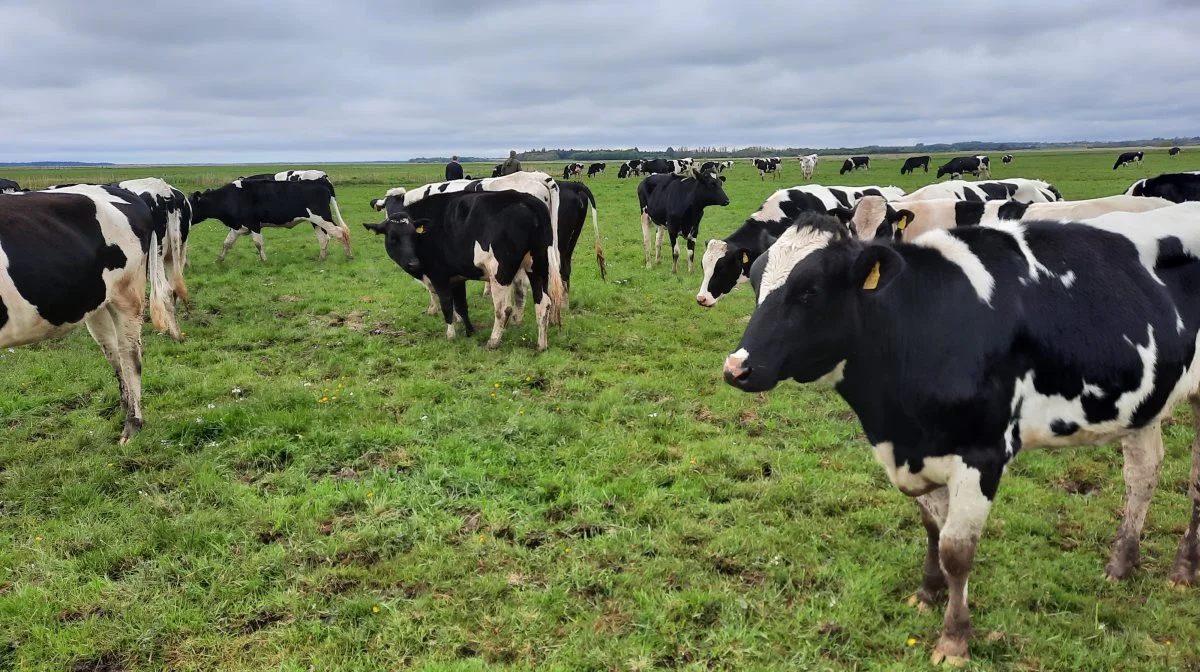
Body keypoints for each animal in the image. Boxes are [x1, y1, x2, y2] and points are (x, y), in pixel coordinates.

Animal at [0, 186, 181, 444]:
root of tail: (119, 189)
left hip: (128, 294)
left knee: (130, 354)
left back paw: (132, 424)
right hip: (98, 303)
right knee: (113, 351)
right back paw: (124, 406)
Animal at [190, 177, 350, 264]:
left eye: (189, 203)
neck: (228, 198)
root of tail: (319, 181)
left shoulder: (253, 224)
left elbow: (258, 243)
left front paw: (264, 261)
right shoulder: (237, 227)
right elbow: (227, 243)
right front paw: (218, 260)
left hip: (323, 218)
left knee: (340, 233)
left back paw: (348, 255)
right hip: (315, 221)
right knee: (323, 239)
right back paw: (321, 258)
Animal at [362, 187, 564, 348]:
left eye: (413, 235)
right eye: (393, 238)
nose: (413, 263)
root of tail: (526, 200)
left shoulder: (439, 276)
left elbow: (446, 305)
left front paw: (450, 335)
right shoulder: (457, 278)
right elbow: (461, 306)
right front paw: (469, 331)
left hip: (500, 272)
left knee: (504, 309)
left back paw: (493, 341)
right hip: (538, 266)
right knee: (543, 303)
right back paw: (541, 344)